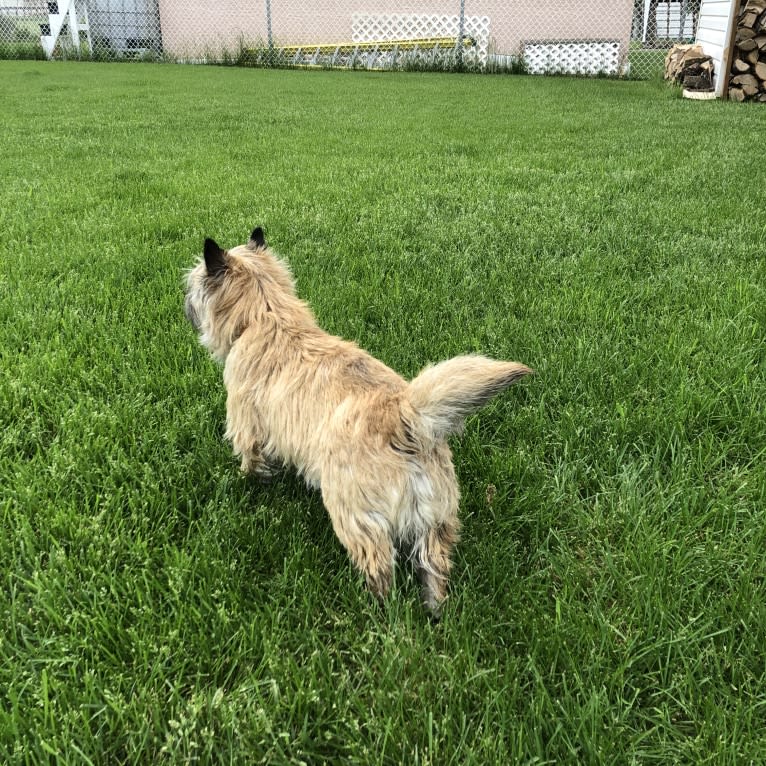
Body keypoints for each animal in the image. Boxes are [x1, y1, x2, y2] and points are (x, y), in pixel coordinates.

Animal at [186, 230, 536, 616]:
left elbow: (251, 457)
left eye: (193, 285)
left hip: (355, 513)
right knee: (434, 566)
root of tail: (405, 417)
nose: (185, 306)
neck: (267, 314)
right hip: (436, 518)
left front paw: (246, 480)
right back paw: (434, 609)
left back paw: (374, 608)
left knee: (380, 567)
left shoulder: (245, 421)